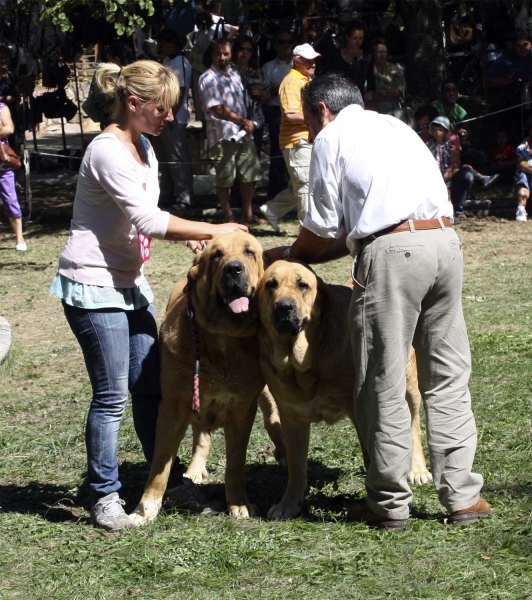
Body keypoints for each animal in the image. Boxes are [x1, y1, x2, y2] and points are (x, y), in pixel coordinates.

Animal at [129, 232, 284, 528]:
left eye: (249, 252)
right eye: (217, 255)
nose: (233, 269)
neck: (223, 336)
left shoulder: (242, 410)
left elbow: (235, 464)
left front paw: (238, 504)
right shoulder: (173, 408)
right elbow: (160, 464)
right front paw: (145, 509)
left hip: (268, 401)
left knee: (275, 424)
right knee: (201, 437)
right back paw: (195, 469)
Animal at [258, 262, 432, 520]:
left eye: (303, 285)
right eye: (271, 284)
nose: (284, 307)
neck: (304, 362)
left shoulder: (361, 411)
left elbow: (372, 457)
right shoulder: (292, 418)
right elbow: (297, 468)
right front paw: (289, 504)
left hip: (409, 384)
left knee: (413, 424)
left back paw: (417, 469)